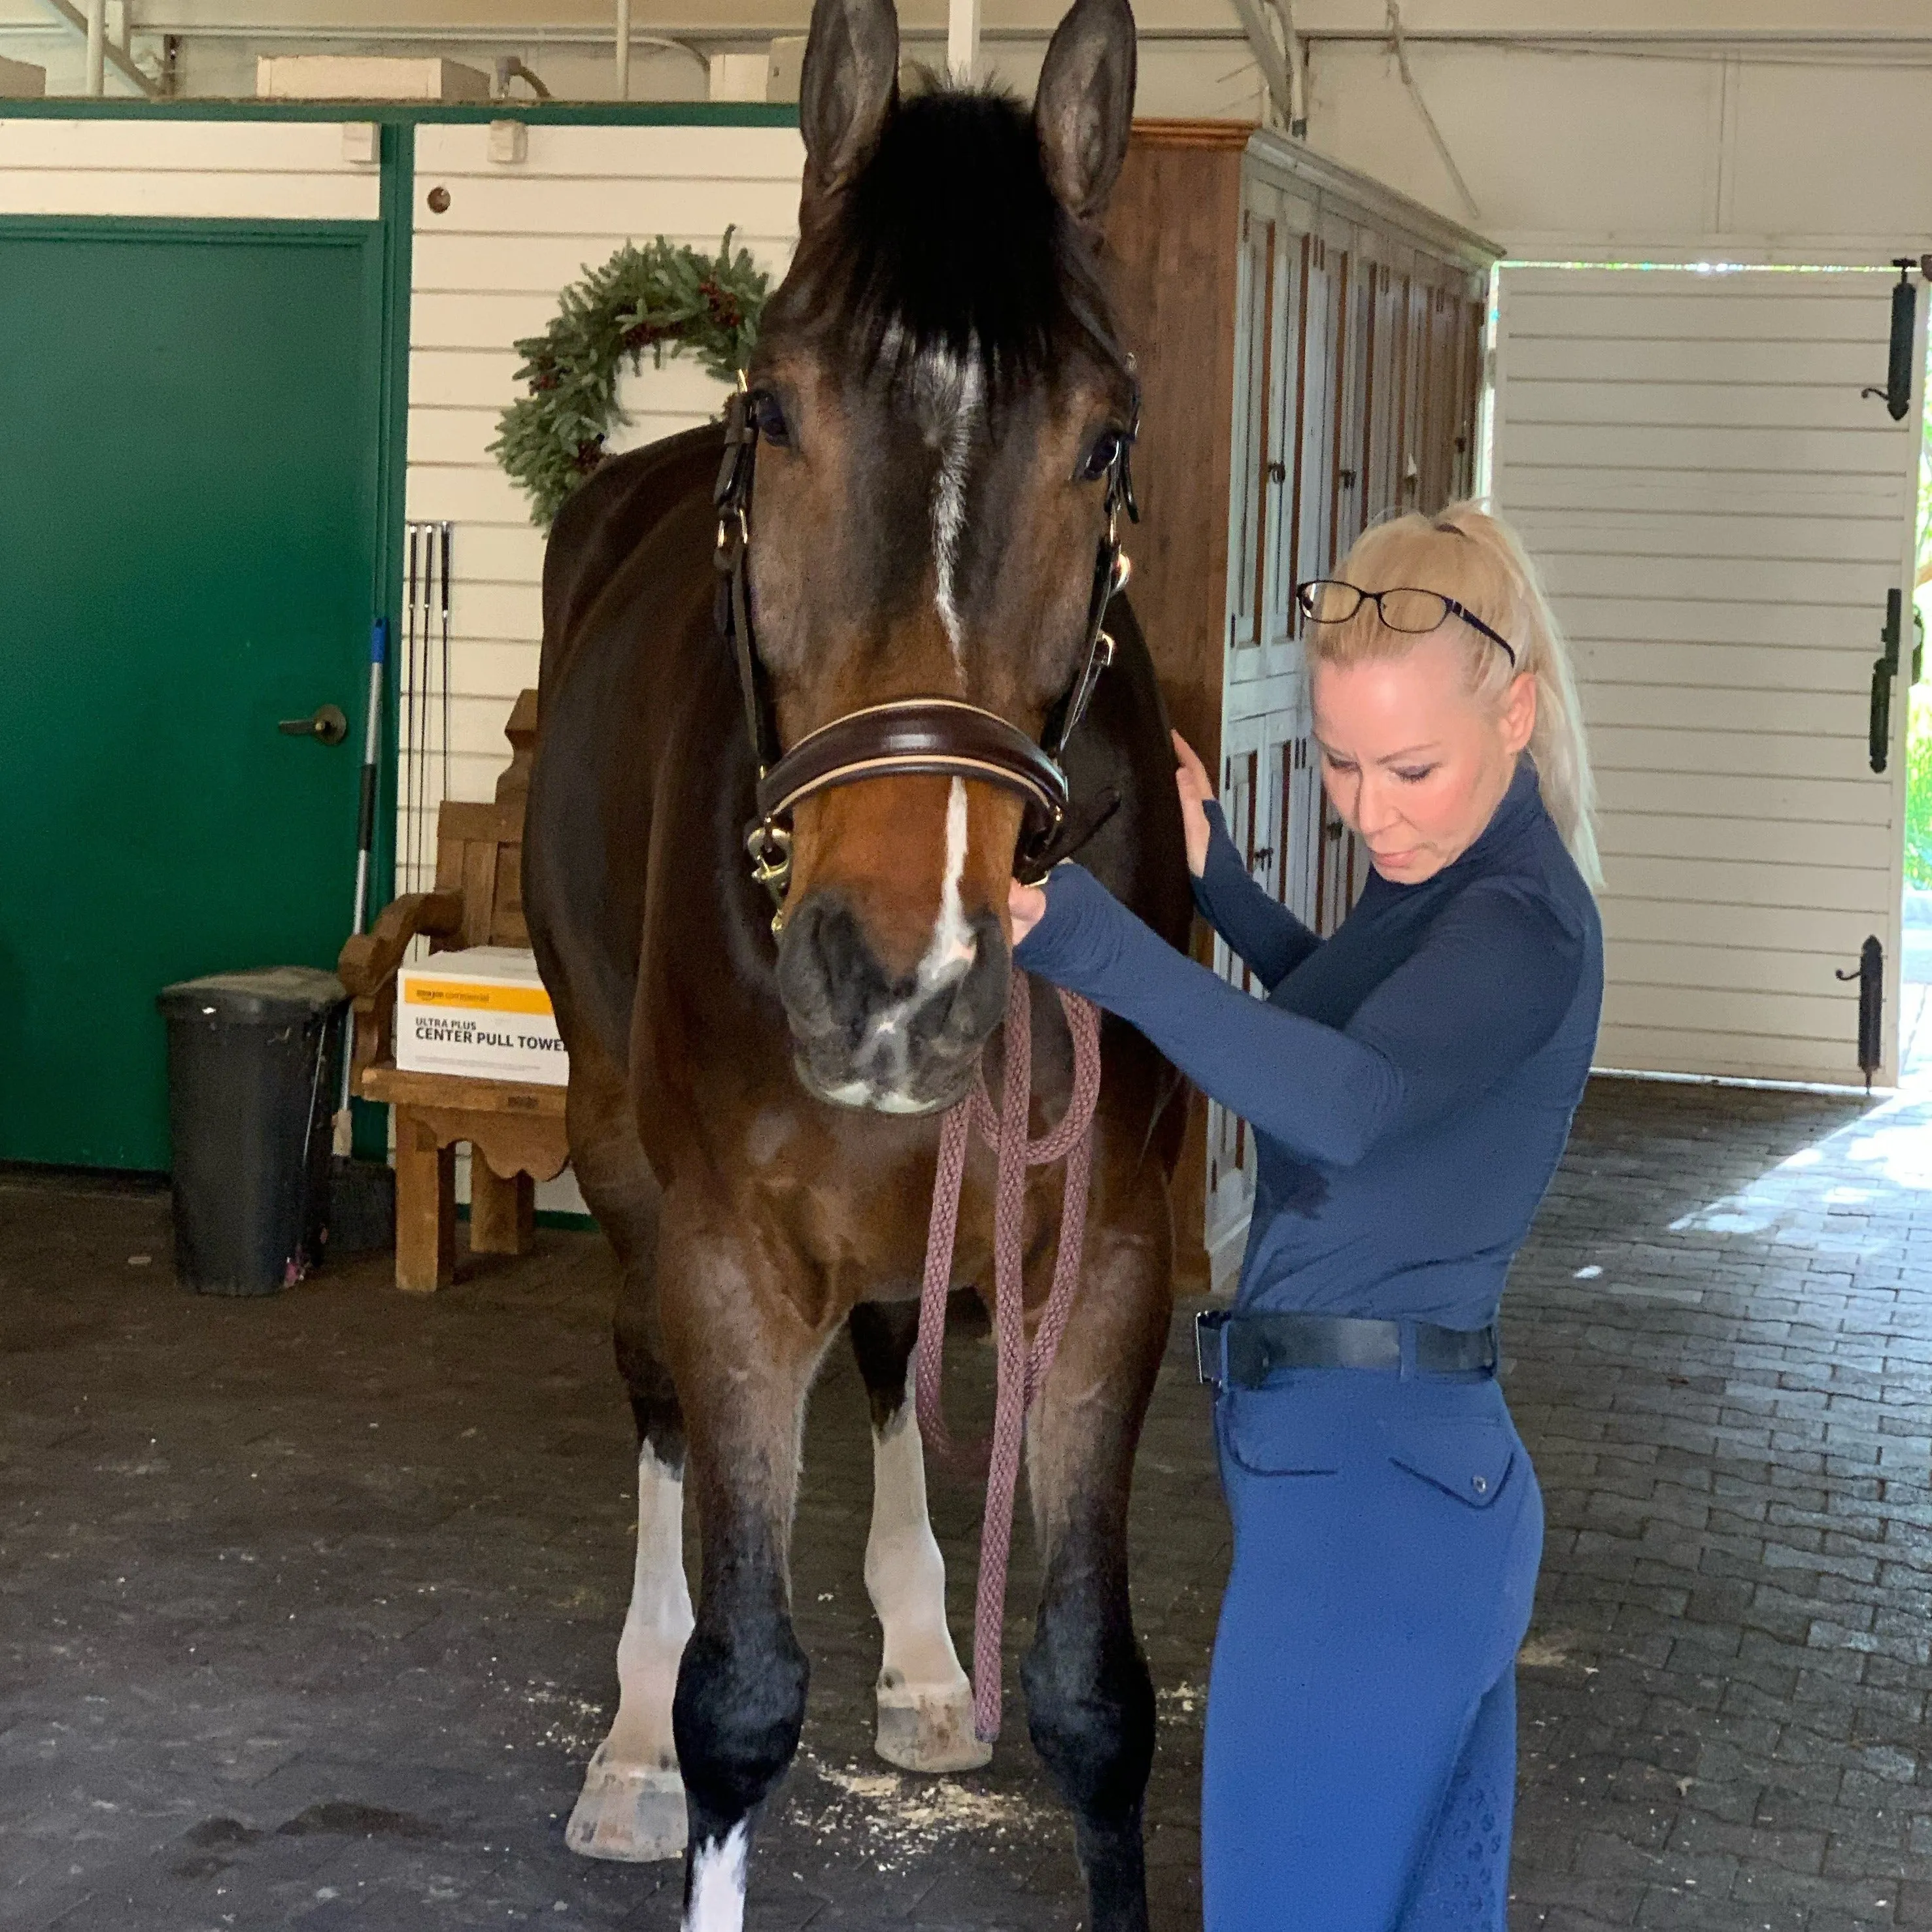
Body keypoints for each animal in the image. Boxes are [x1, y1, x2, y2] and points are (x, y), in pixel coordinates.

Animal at [529, 0, 1190, 1924]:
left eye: (1104, 438)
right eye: (776, 407)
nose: (900, 969)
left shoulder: (1107, 1254)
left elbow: (1096, 1696)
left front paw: (956, 1660)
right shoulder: (732, 1251)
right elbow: (740, 1691)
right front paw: (671, 1743)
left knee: (898, 1352)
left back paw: (922, 1656)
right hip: (621, 1165)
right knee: (657, 1417)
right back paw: (624, 1751)